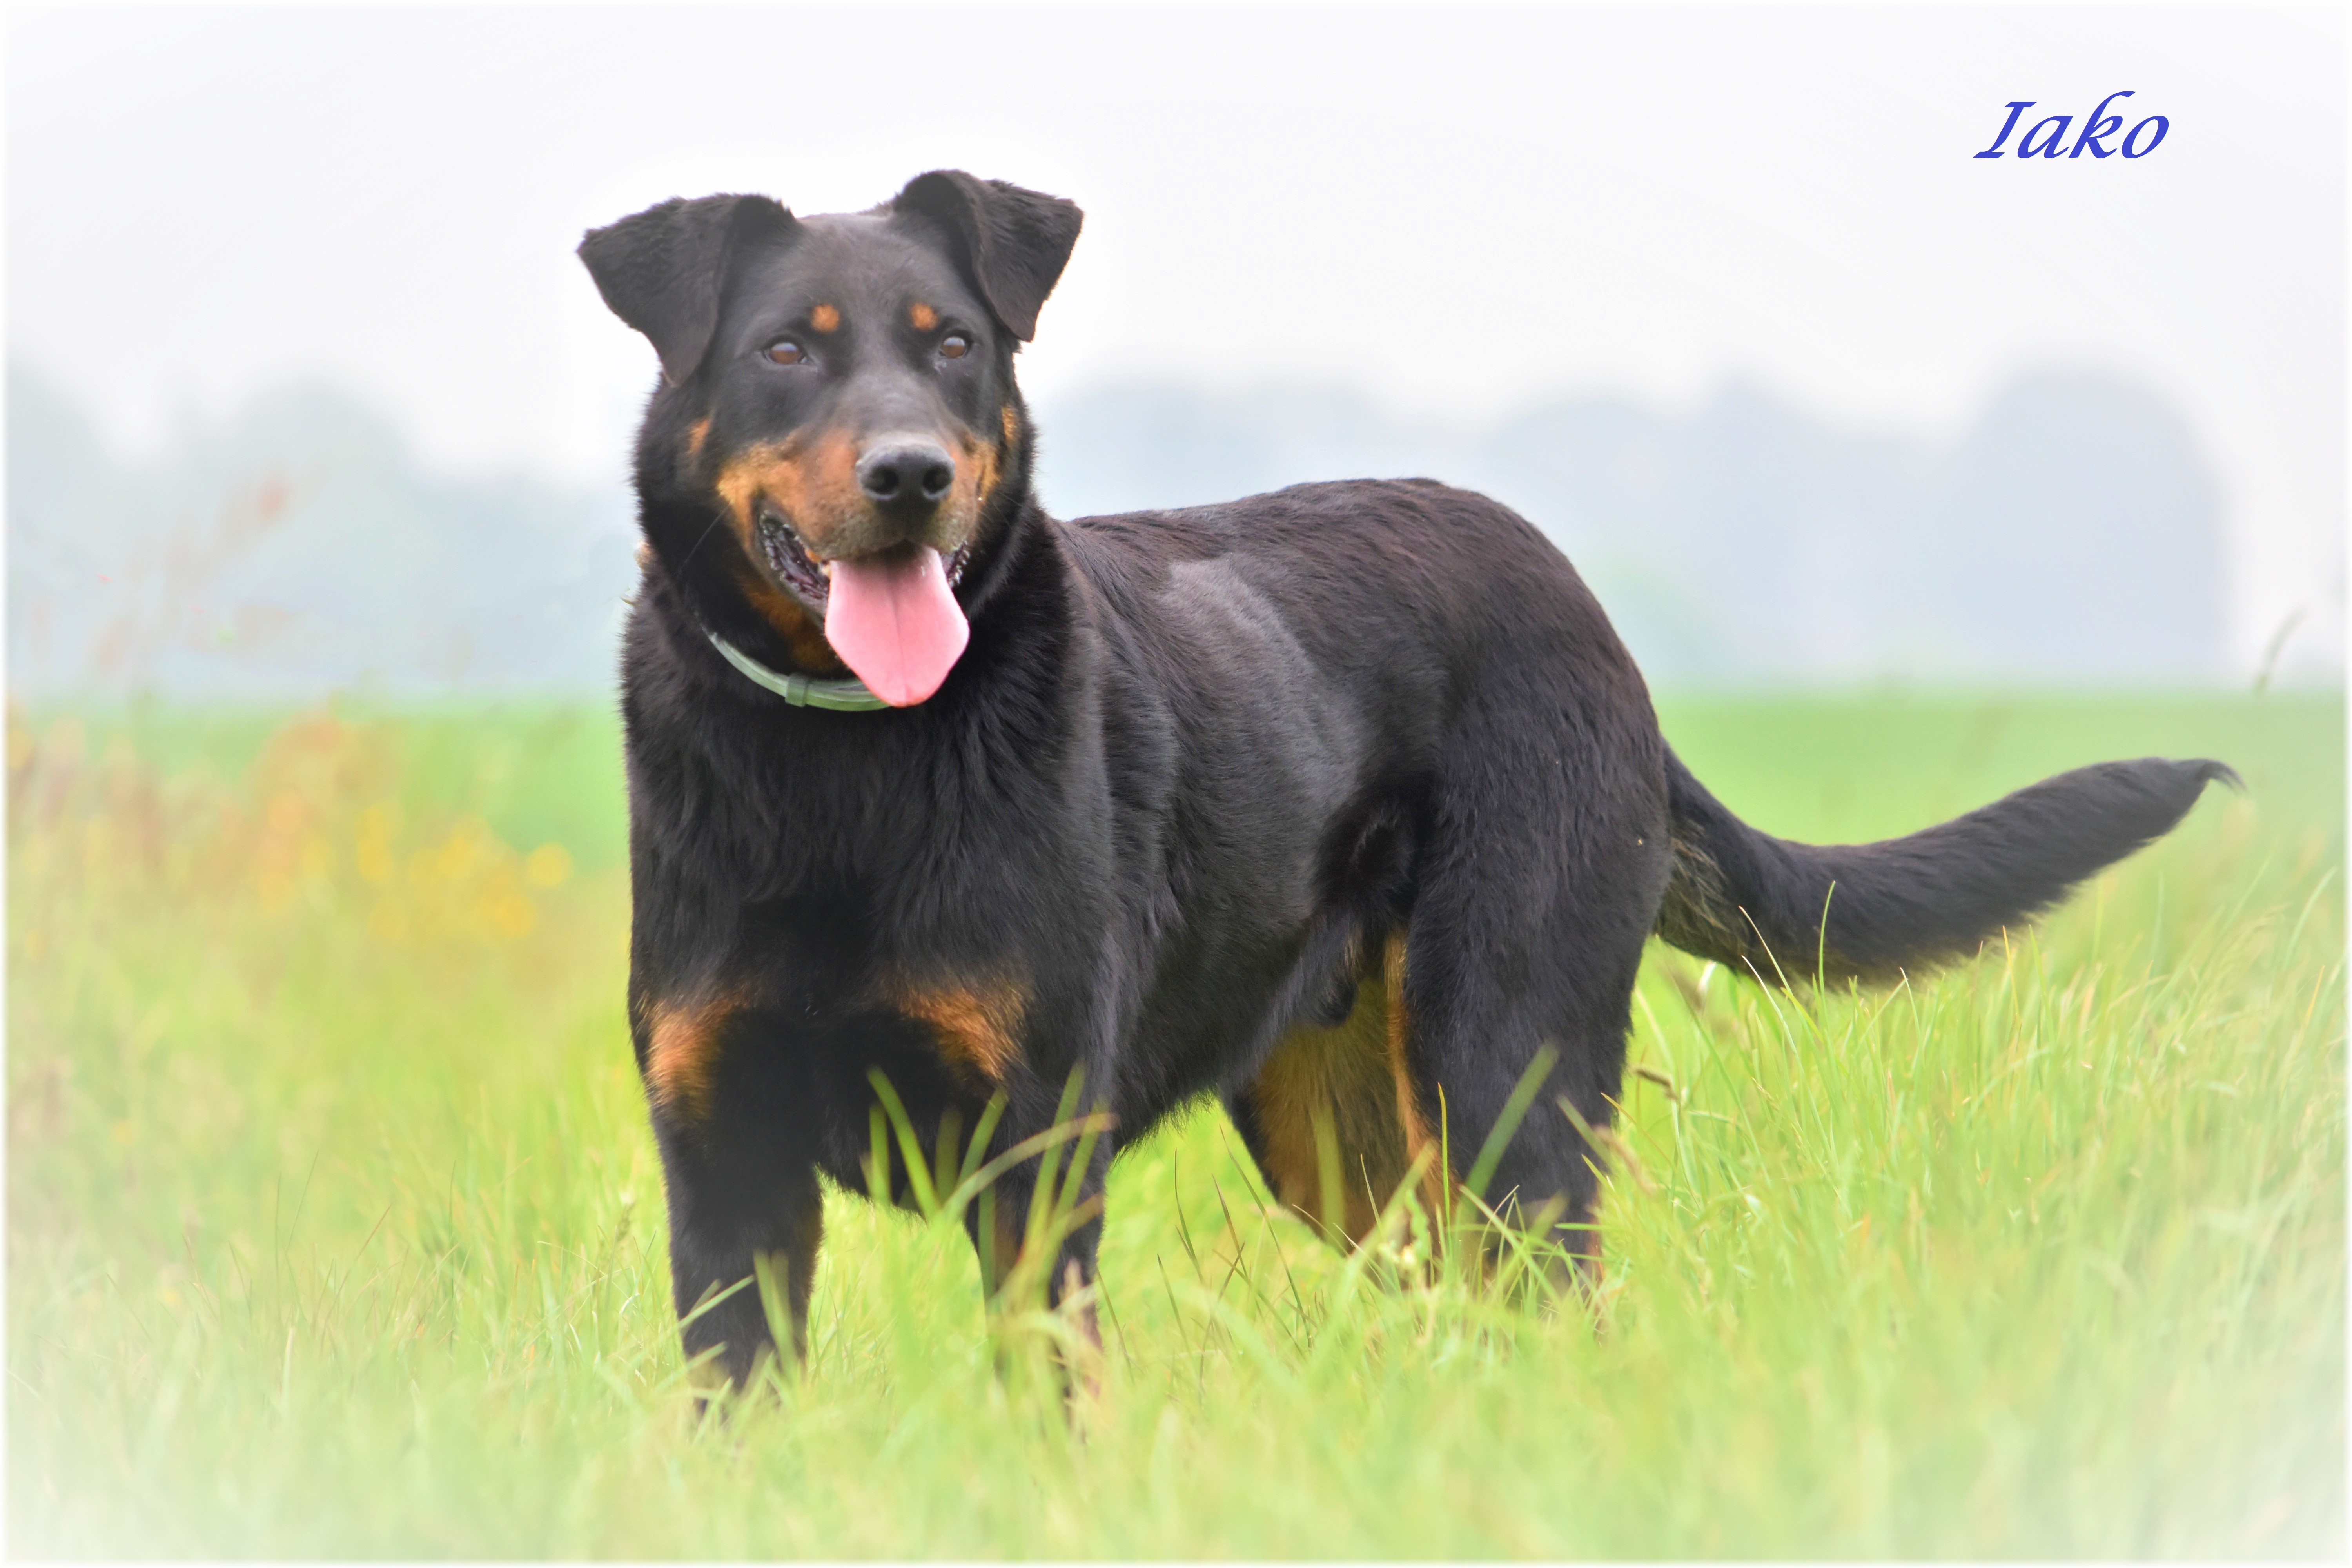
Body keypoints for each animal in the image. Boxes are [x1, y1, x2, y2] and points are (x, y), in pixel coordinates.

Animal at [579, 177, 2230, 1392]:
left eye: (954, 348)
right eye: (787, 351)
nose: (913, 475)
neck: (842, 756)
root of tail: (1596, 625)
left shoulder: (1036, 1160)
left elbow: (1050, 1394)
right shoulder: (722, 1167)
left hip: (1505, 1069)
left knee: (1556, 1296)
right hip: (1352, 1135)